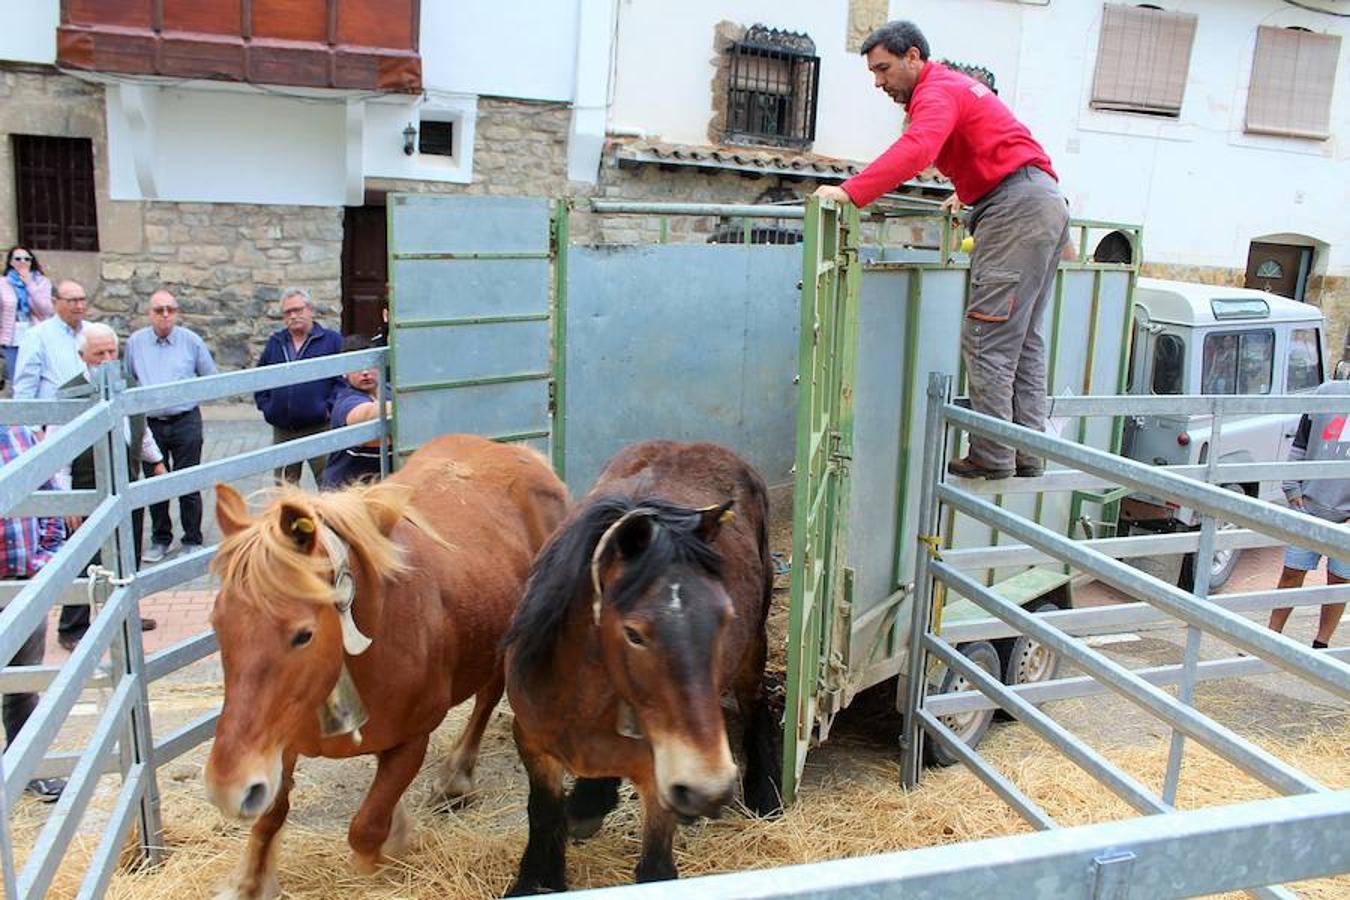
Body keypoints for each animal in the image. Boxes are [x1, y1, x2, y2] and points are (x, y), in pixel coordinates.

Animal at [199, 431, 564, 895]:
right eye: (217, 623)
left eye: (303, 635)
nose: (226, 787)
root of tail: (523, 454)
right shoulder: (278, 743)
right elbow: (270, 817)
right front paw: (250, 882)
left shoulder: (412, 739)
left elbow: (366, 828)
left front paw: (395, 841)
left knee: (487, 697)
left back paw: (456, 777)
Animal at [504, 439, 783, 890]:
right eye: (634, 633)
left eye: (725, 618)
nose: (709, 787)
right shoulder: (532, 743)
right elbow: (542, 816)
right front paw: (539, 877)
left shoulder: (660, 779)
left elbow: (655, 870)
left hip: (752, 649)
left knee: (756, 702)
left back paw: (764, 793)